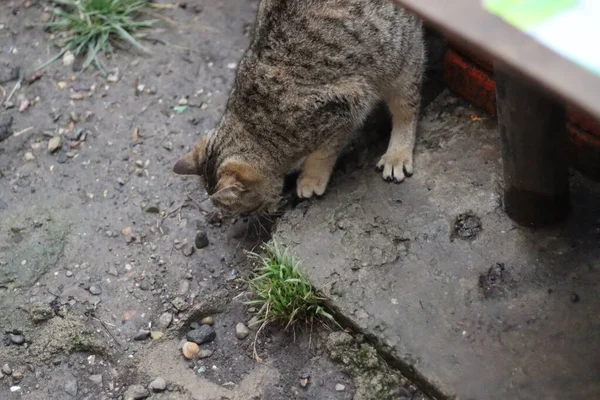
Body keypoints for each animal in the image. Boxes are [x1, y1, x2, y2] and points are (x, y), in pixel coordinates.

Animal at [173, 0, 426, 216]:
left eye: (243, 208)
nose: (251, 217)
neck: (255, 124)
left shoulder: (347, 105)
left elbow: (324, 151)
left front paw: (311, 178)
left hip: (400, 59)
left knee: (407, 107)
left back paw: (397, 153)